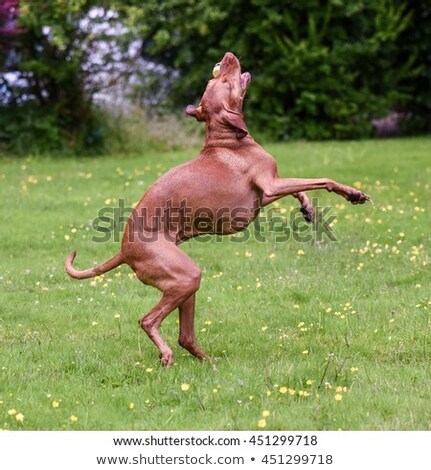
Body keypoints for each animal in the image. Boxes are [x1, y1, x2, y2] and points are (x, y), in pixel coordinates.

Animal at [66, 51, 370, 368]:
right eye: (223, 79)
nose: (227, 55)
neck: (227, 138)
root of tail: (125, 250)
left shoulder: (265, 192)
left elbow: (301, 188)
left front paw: (307, 207)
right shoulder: (271, 185)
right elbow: (322, 179)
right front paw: (352, 193)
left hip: (185, 284)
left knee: (185, 336)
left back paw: (206, 360)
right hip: (185, 277)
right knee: (148, 321)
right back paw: (166, 355)